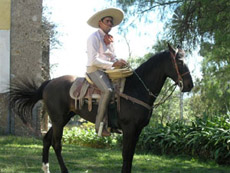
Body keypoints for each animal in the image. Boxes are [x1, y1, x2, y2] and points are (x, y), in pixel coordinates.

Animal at [8, 44, 192, 172]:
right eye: (180, 61)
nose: (190, 85)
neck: (136, 89)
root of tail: (49, 82)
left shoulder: (137, 130)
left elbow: (130, 156)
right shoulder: (129, 129)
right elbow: (126, 154)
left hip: (63, 118)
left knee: (47, 140)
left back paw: (46, 169)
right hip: (59, 119)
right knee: (56, 143)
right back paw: (64, 170)